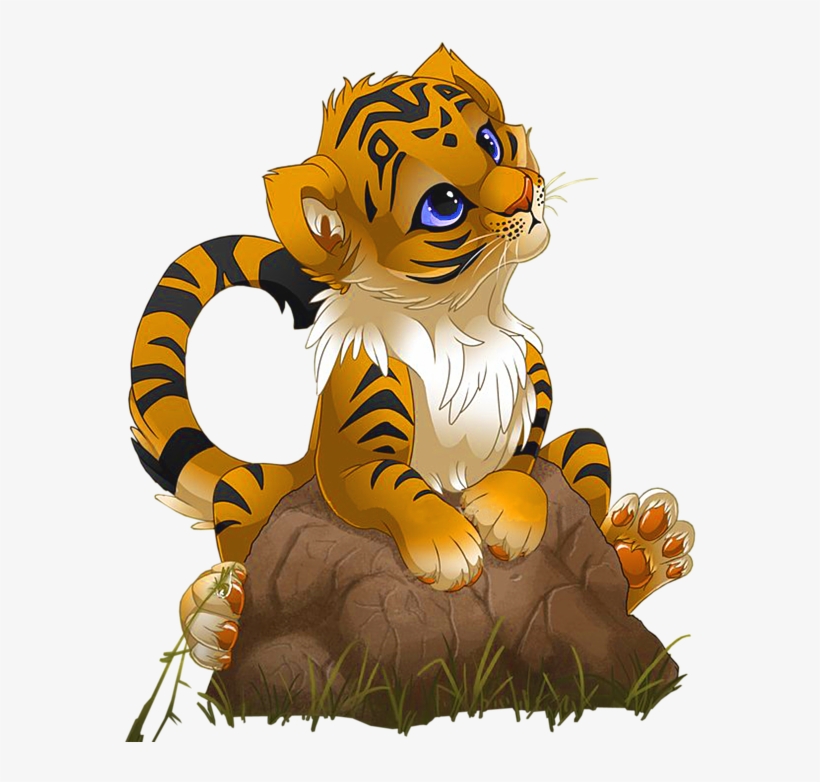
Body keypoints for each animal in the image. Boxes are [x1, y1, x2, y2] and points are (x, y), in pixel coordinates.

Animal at [129, 46, 695, 670]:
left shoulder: (536, 405)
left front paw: (505, 514)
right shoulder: (352, 456)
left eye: (490, 142)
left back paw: (644, 548)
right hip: (250, 488)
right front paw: (448, 546)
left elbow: (526, 465)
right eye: (443, 205)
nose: (526, 192)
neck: (466, 316)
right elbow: (393, 482)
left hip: (584, 448)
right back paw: (216, 619)